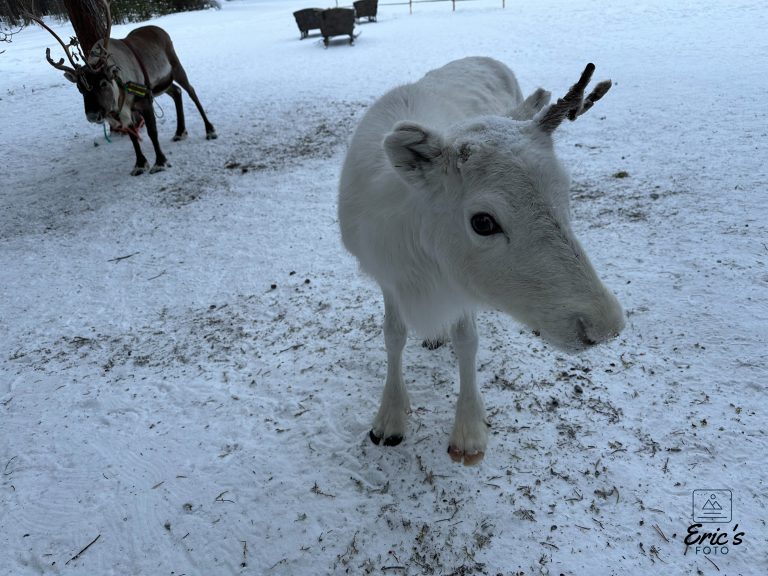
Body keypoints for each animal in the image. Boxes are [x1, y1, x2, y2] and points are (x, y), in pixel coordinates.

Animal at [340, 57, 624, 464]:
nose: (604, 325)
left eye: (565, 192)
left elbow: (467, 341)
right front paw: (389, 420)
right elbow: (393, 336)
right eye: (483, 222)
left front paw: (469, 431)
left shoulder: (463, 286)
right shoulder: (387, 277)